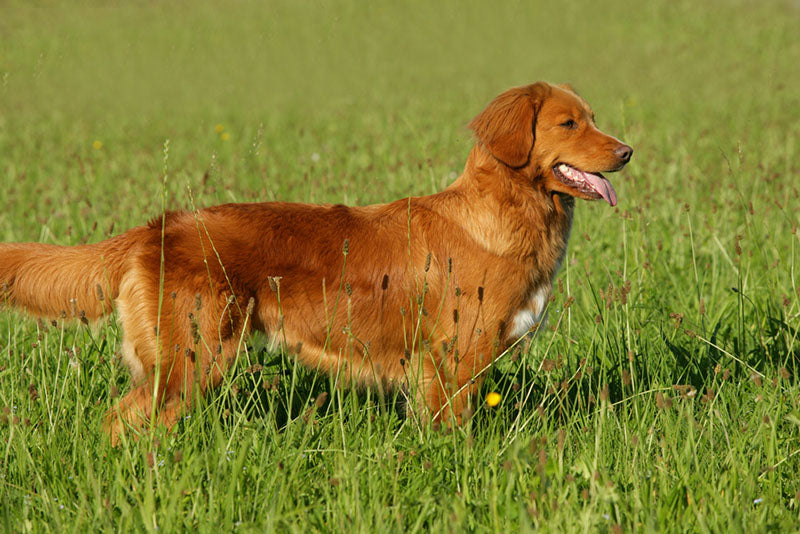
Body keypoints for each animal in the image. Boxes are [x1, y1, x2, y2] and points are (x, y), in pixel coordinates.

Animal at [0, 82, 632, 444]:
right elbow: (453, 436)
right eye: (569, 124)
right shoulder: (455, 358)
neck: (508, 210)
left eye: (593, 118)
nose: (628, 151)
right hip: (191, 361)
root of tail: (160, 224)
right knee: (120, 423)